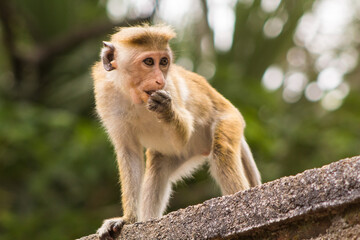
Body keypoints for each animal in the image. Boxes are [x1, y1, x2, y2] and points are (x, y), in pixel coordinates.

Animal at [91, 24, 260, 240]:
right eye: (148, 62)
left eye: (163, 62)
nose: (159, 80)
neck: (134, 97)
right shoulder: (106, 96)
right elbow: (129, 151)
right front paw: (127, 220)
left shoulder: (169, 86)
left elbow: (184, 133)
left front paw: (166, 110)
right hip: (182, 154)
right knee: (158, 169)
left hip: (229, 119)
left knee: (221, 151)